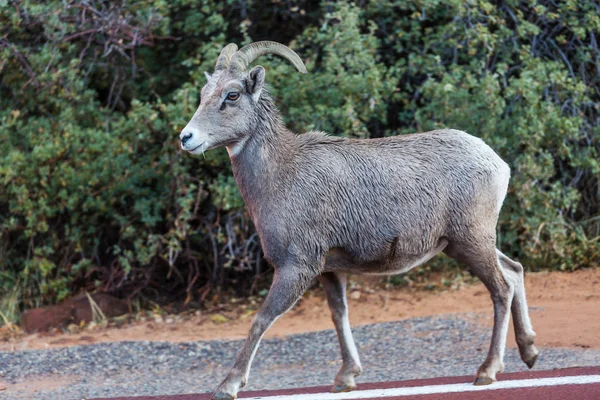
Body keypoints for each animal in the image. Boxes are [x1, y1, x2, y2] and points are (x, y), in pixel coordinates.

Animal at [178, 41, 540, 400]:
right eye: (204, 93)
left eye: (232, 95)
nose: (186, 137)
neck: (280, 174)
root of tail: (497, 163)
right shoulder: (329, 270)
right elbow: (339, 314)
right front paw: (346, 378)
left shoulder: (296, 268)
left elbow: (261, 319)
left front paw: (227, 386)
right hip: (468, 243)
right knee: (515, 270)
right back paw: (530, 353)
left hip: (470, 243)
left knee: (501, 289)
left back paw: (487, 372)